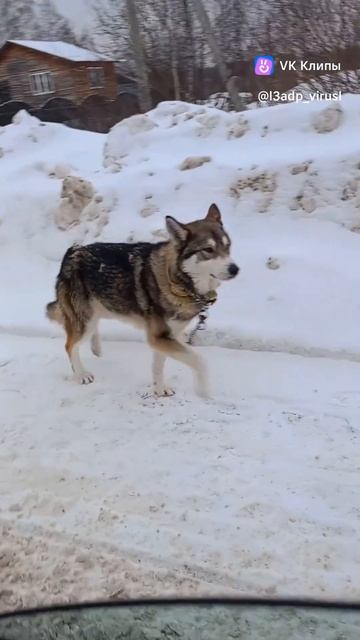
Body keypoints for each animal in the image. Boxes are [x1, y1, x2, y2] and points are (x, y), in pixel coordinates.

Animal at [46, 204, 240, 396]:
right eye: (208, 250)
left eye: (228, 246)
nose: (235, 269)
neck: (178, 282)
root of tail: (71, 251)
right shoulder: (159, 337)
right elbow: (200, 360)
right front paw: (203, 390)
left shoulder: (164, 337)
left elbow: (158, 366)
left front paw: (160, 389)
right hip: (85, 319)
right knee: (70, 345)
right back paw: (81, 374)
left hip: (98, 310)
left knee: (92, 329)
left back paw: (96, 348)